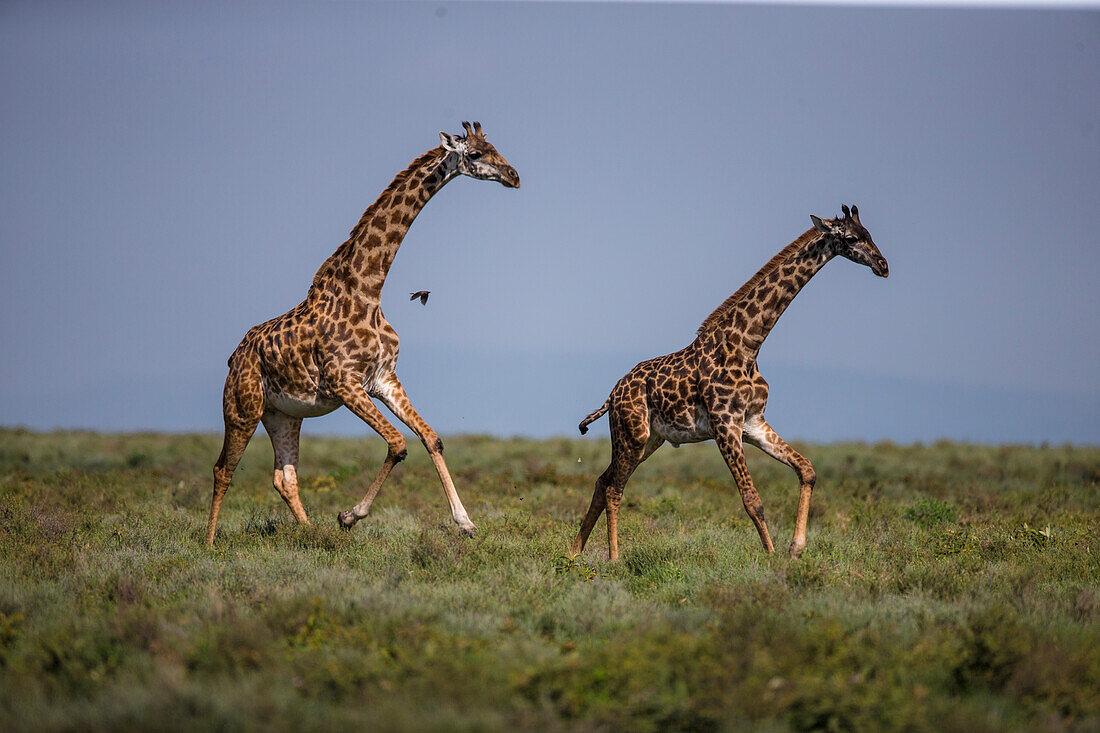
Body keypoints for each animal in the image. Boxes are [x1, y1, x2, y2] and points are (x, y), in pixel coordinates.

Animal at [207, 121, 521, 541]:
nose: (513, 176)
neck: (368, 289)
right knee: (223, 469)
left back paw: (312, 534)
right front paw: (349, 515)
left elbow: (431, 438)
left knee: (284, 477)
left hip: (283, 414)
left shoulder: (385, 379)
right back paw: (209, 543)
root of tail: (235, 355)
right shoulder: (345, 383)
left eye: (495, 147)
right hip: (243, 407)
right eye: (474, 153)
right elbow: (398, 443)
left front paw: (466, 522)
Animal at [572, 202, 888, 556]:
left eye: (869, 233)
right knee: (614, 488)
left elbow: (807, 470)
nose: (883, 265)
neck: (747, 345)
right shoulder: (725, 426)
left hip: (651, 439)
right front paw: (772, 558)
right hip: (633, 434)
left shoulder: (753, 423)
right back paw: (613, 559)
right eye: (850, 238)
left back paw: (573, 553)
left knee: (603, 480)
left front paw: (795, 548)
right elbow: (752, 500)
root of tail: (612, 395)